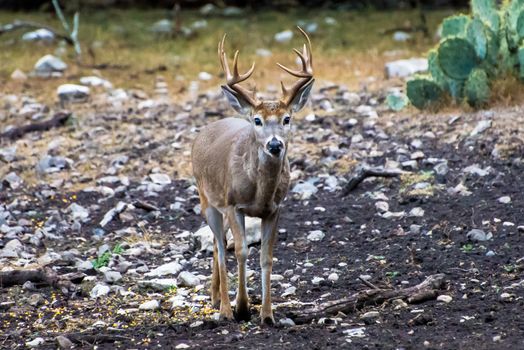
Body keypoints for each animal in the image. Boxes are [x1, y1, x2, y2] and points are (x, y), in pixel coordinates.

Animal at [192, 27, 316, 326]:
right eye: (257, 120)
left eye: (286, 119)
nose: (275, 145)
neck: (260, 192)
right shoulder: (233, 204)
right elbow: (241, 251)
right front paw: (241, 308)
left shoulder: (275, 209)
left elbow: (266, 257)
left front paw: (267, 314)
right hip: (208, 199)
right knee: (221, 246)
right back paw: (223, 308)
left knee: (219, 244)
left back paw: (216, 297)